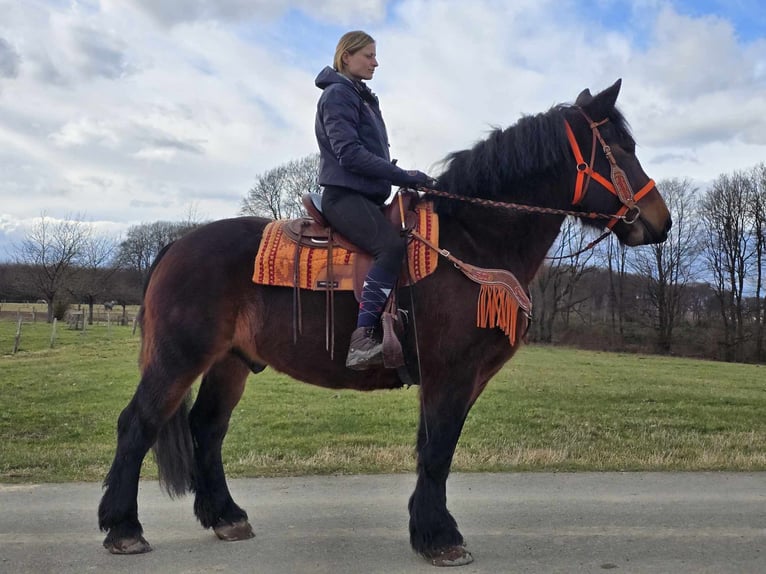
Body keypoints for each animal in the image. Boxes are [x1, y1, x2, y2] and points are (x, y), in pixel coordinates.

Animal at [97, 80, 672, 568]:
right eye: (621, 147)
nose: (660, 222)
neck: (471, 240)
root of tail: (176, 243)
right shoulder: (449, 373)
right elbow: (438, 450)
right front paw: (440, 538)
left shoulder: (459, 378)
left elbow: (433, 449)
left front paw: (427, 529)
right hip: (179, 358)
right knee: (138, 424)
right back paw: (123, 528)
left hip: (230, 362)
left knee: (207, 428)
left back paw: (226, 516)